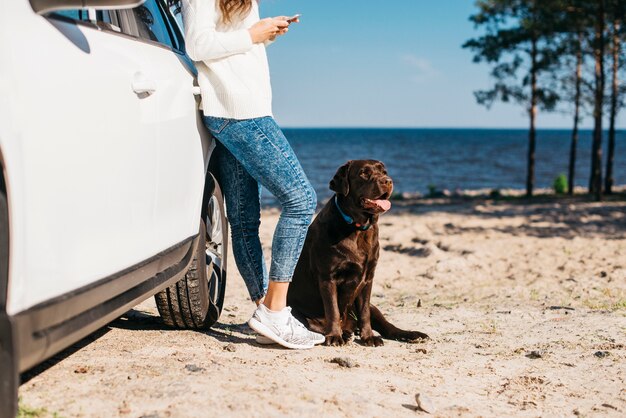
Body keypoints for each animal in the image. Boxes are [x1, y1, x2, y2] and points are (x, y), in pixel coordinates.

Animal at [288, 160, 428, 346]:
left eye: (384, 172)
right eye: (363, 173)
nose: (387, 181)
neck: (357, 228)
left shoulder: (368, 278)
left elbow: (364, 313)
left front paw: (368, 337)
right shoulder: (327, 278)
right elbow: (332, 310)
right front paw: (334, 336)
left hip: (373, 308)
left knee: (387, 327)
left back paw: (413, 335)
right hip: (295, 310)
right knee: (314, 323)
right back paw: (344, 333)